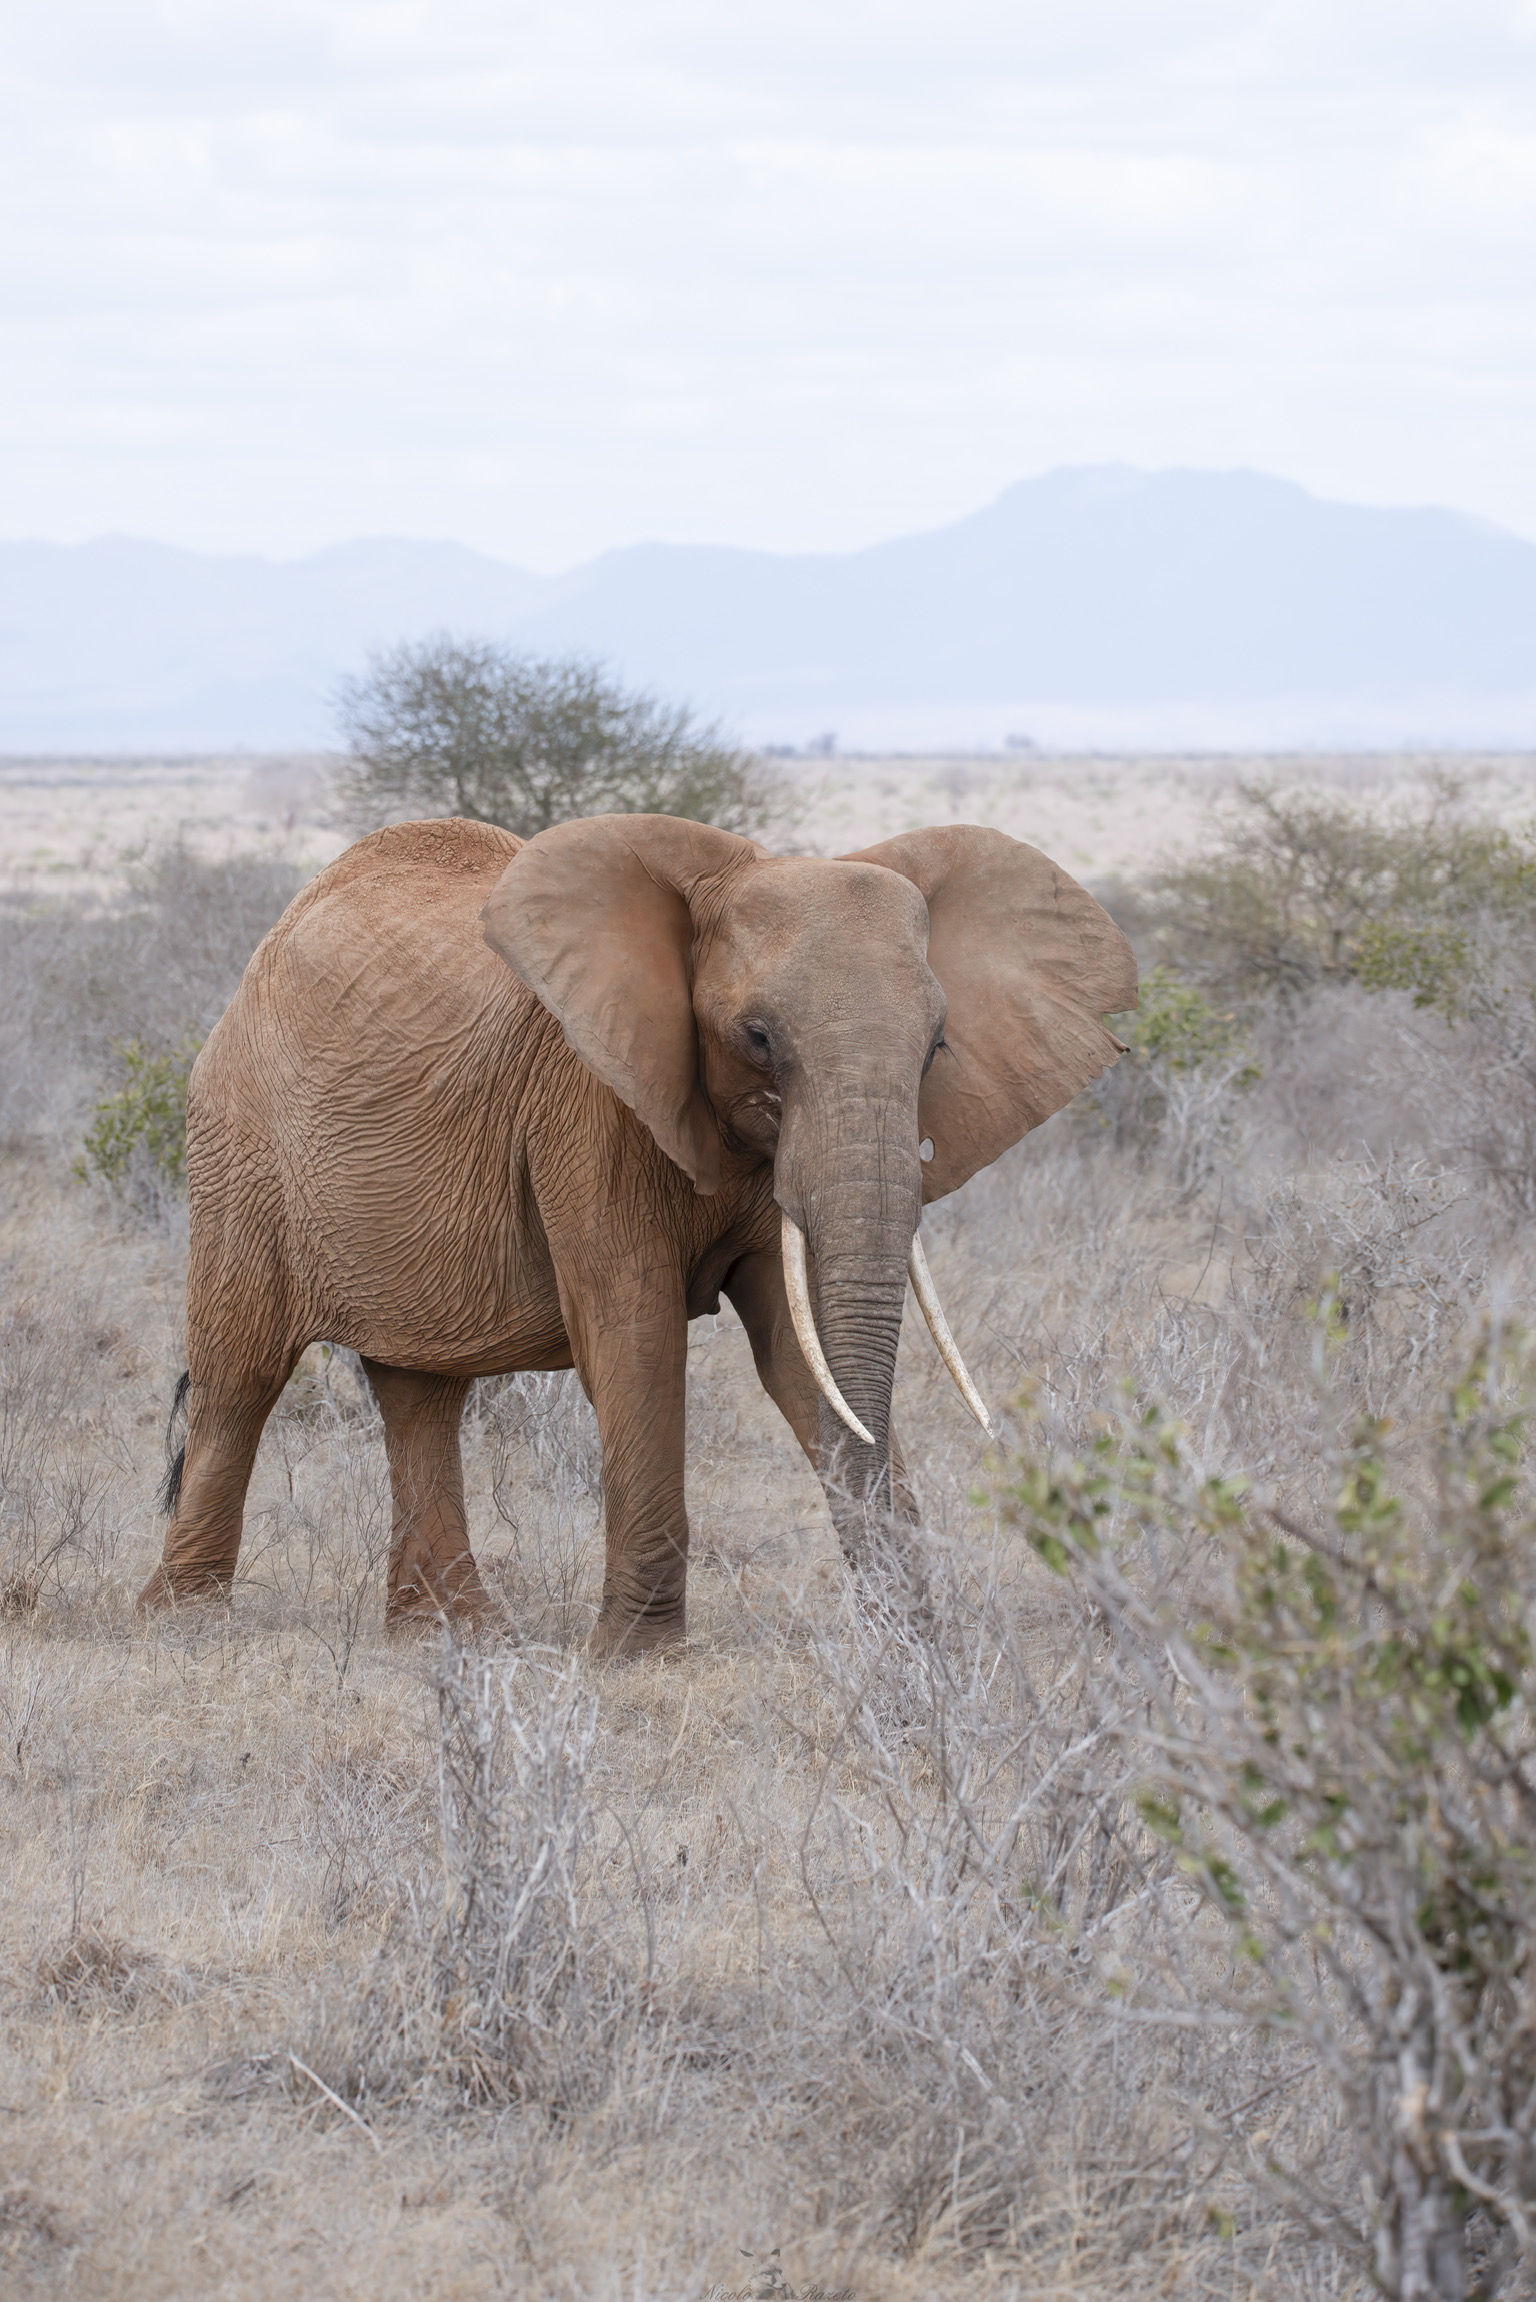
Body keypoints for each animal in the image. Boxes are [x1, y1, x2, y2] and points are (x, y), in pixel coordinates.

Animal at [136, 812, 1136, 1655]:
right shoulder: (589, 1104)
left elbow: (795, 1351)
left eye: (936, 1048)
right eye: (757, 1036)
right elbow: (635, 1333)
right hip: (238, 1144)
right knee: (240, 1375)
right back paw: (187, 1623)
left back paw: (453, 1637)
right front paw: (635, 1658)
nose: (913, 1639)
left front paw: (917, 1656)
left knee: (419, 1392)